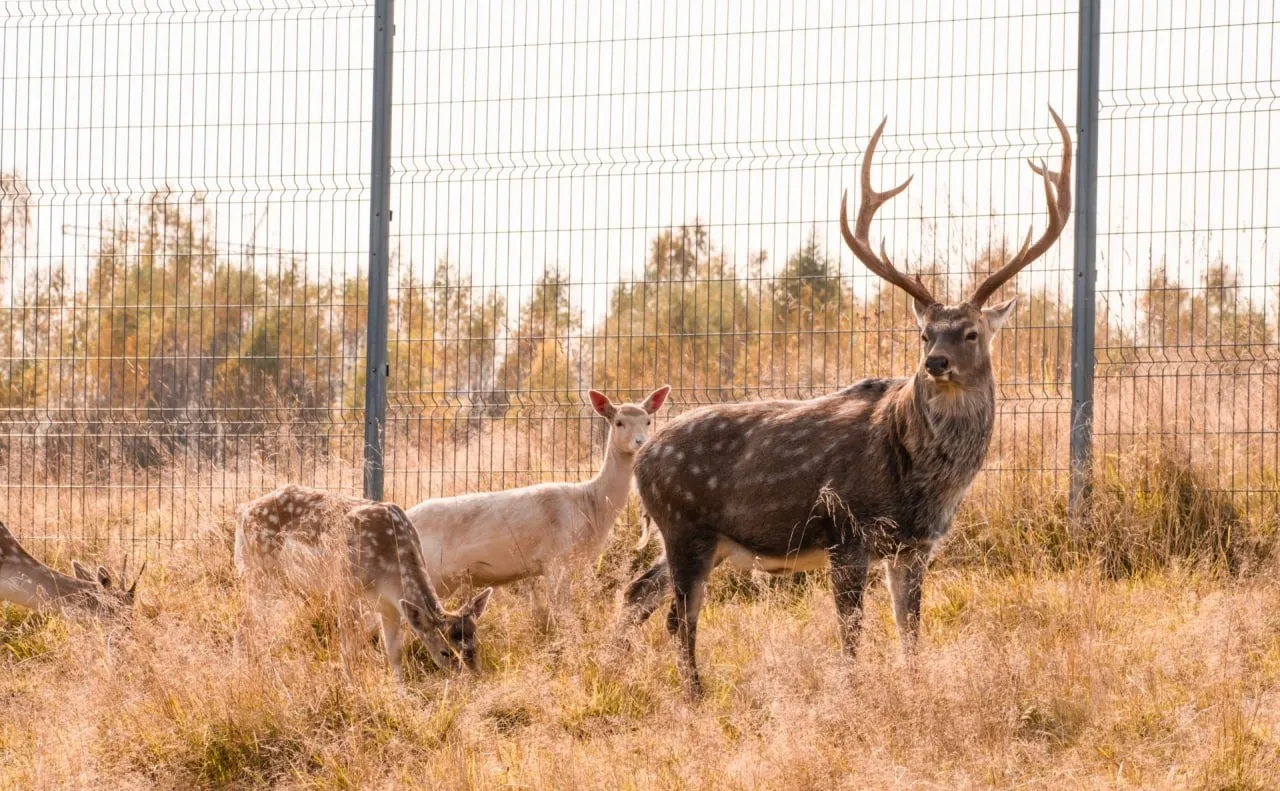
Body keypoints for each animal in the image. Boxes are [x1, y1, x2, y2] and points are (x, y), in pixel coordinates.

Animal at [234, 485, 492, 680]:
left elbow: (394, 652)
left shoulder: (389, 606)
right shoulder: (343, 585)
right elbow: (348, 645)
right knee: (246, 622)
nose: (473, 678)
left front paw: (400, 695)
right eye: (445, 651)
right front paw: (350, 684)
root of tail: (244, 511)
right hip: (259, 568)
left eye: (476, 645)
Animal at [405, 386, 670, 620]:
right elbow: (563, 614)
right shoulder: (555, 559)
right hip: (430, 572)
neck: (591, 506)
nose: (641, 442)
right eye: (619, 422)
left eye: (648, 421)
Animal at [621, 109, 1072, 696]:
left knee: (636, 593)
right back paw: (695, 696)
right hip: (683, 525)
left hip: (696, 538)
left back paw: (615, 670)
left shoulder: (914, 547)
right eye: (925, 333)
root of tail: (642, 459)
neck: (921, 482)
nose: (936, 363)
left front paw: (913, 688)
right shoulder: (846, 530)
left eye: (971, 333)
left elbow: (910, 633)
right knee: (679, 616)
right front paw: (854, 695)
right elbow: (852, 637)